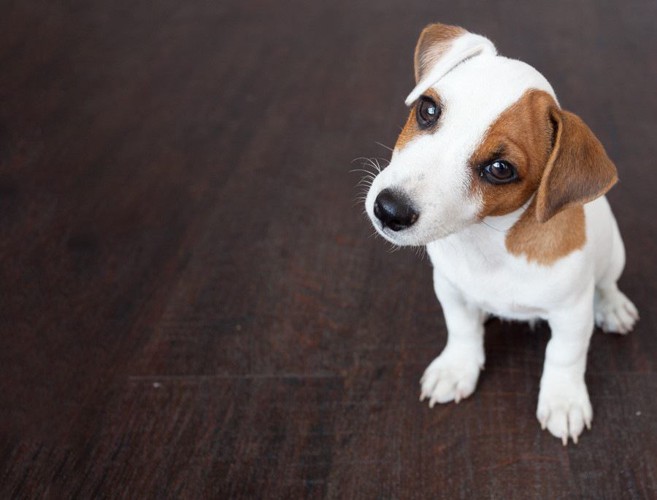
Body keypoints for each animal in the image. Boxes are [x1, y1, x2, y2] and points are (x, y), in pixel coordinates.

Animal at [364, 23, 636, 446]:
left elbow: (565, 355)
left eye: (500, 169)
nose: (389, 209)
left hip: (614, 255)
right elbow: (461, 329)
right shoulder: (450, 289)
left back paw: (612, 306)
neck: (488, 243)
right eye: (427, 110)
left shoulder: (571, 314)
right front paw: (457, 367)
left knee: (606, 283)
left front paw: (563, 400)